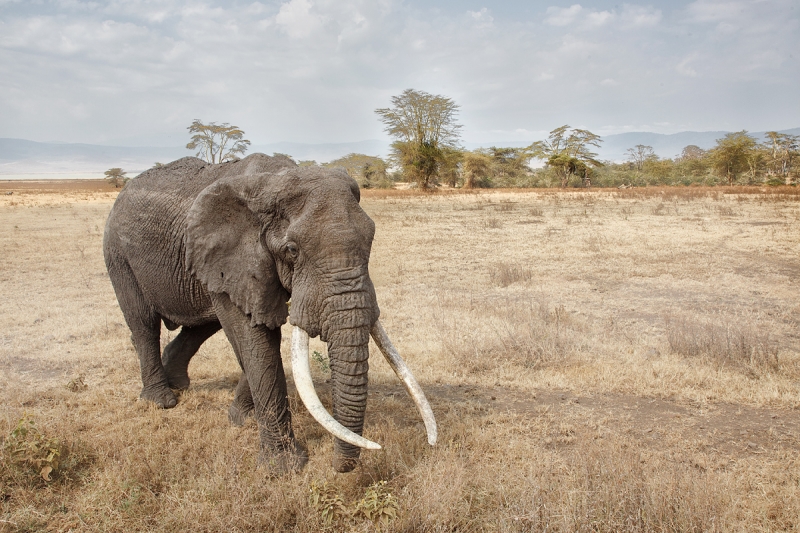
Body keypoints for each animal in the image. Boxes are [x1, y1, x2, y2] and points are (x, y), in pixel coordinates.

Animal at [104, 154, 438, 474]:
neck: (277, 180)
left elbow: (255, 339)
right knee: (144, 324)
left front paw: (243, 418)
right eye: (292, 250)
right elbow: (256, 341)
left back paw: (178, 383)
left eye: (371, 241)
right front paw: (283, 468)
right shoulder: (236, 256)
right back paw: (162, 400)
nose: (338, 467)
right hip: (117, 254)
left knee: (201, 325)